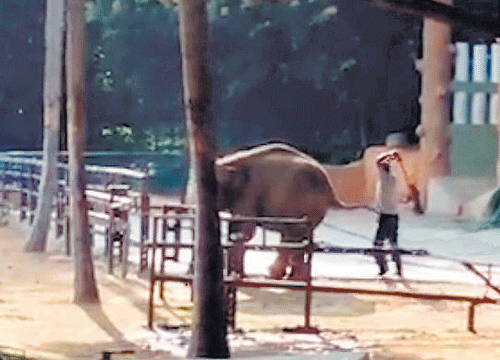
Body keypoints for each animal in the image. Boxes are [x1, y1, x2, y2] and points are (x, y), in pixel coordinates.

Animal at [216, 142, 352, 280]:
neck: (230, 162)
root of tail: (331, 190)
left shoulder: (248, 194)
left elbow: (244, 231)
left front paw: (236, 275)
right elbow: (235, 229)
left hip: (302, 207)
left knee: (291, 237)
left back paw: (278, 275)